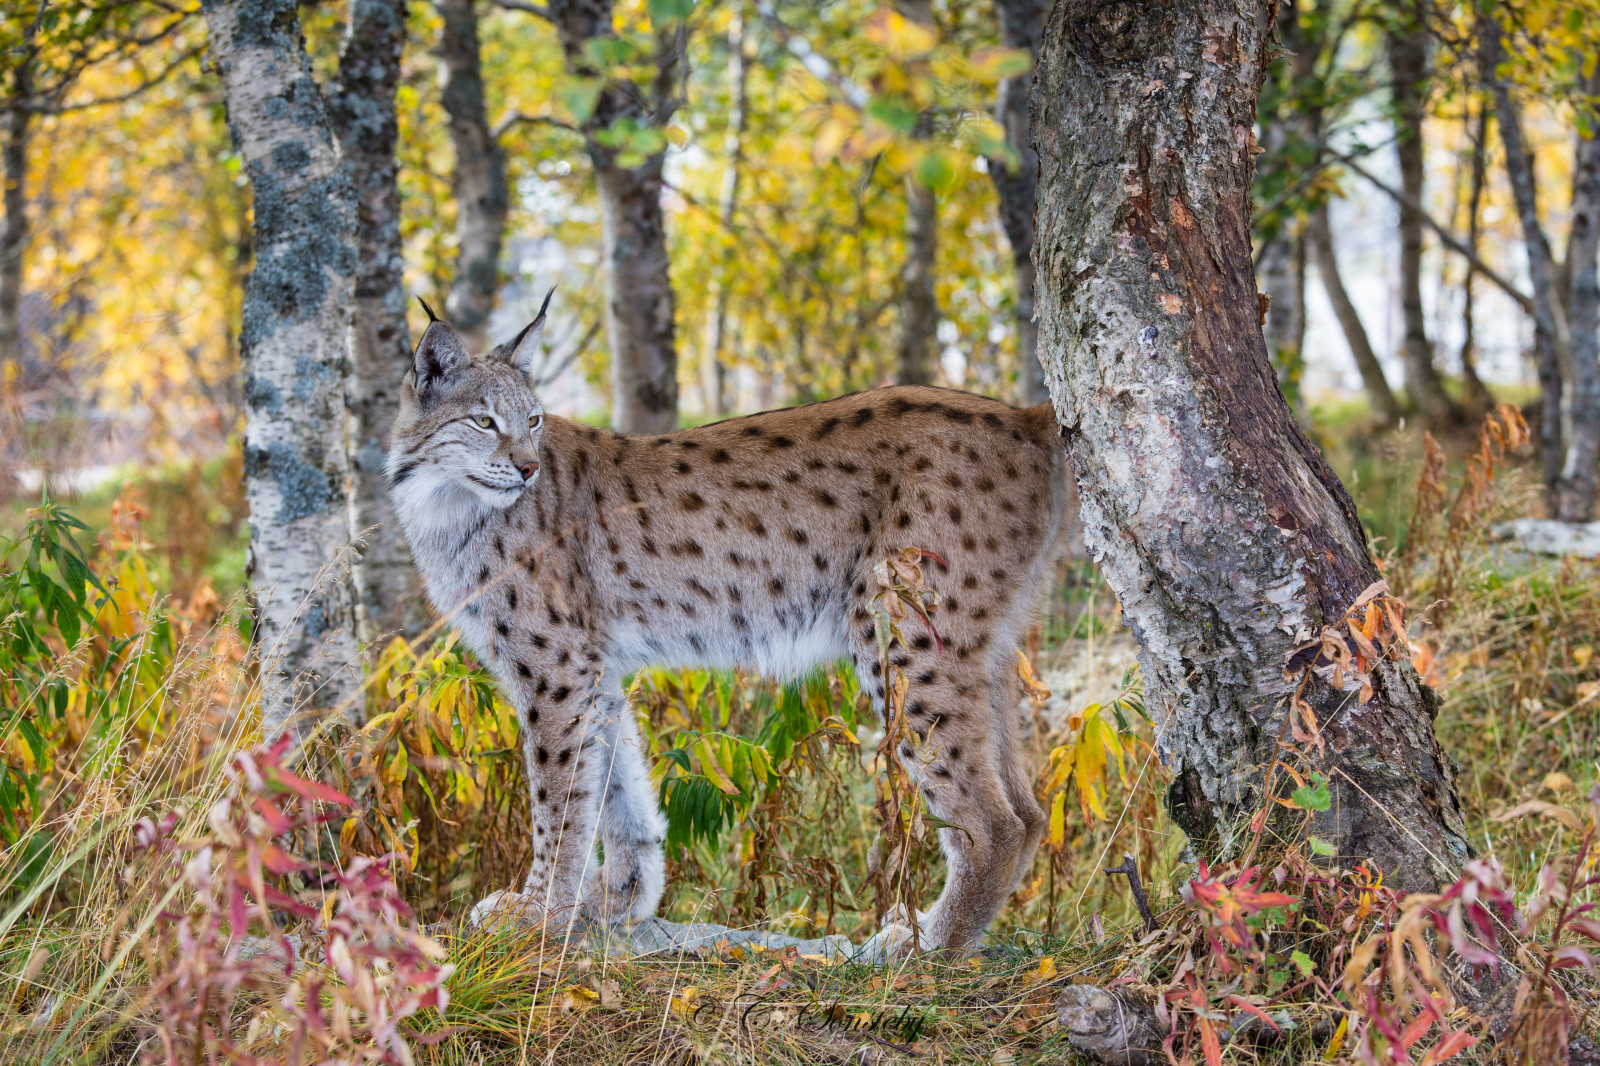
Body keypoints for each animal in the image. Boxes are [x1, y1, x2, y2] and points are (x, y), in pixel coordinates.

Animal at [386, 300, 1074, 955]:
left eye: (532, 421)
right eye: (484, 422)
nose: (528, 469)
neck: (444, 502)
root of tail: (1022, 416)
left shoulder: (554, 665)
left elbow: (559, 801)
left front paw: (535, 921)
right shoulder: (591, 665)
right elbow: (614, 785)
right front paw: (615, 904)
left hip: (897, 627)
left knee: (994, 822)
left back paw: (925, 948)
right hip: (976, 640)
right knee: (1030, 812)